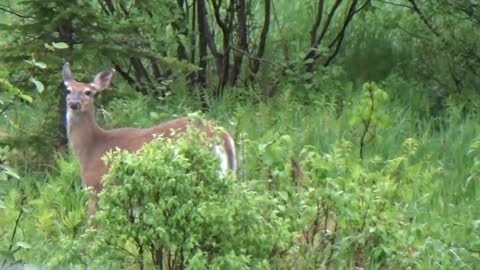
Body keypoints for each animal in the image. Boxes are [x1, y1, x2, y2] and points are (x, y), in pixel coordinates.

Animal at [61, 62, 237, 219]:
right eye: (68, 90)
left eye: (88, 92)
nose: (74, 103)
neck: (91, 148)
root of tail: (223, 136)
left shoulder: (96, 187)